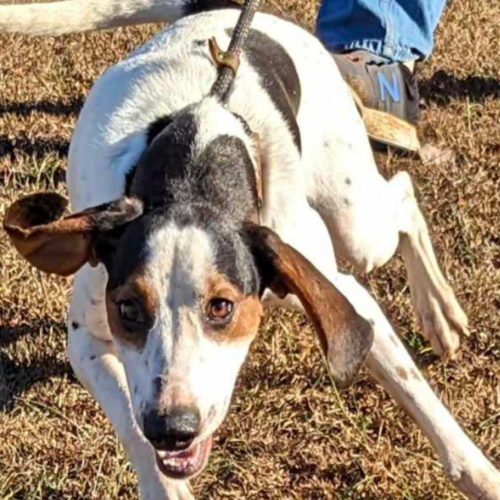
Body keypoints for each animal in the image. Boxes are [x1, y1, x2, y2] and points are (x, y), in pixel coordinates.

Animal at [0, 0, 500, 500]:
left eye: (222, 307)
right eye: (128, 309)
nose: (172, 429)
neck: (193, 170)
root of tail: (221, 10)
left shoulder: (339, 292)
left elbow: (419, 397)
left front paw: (481, 476)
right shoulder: (87, 339)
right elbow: (132, 428)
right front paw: (166, 484)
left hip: (355, 221)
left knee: (404, 196)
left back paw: (439, 313)